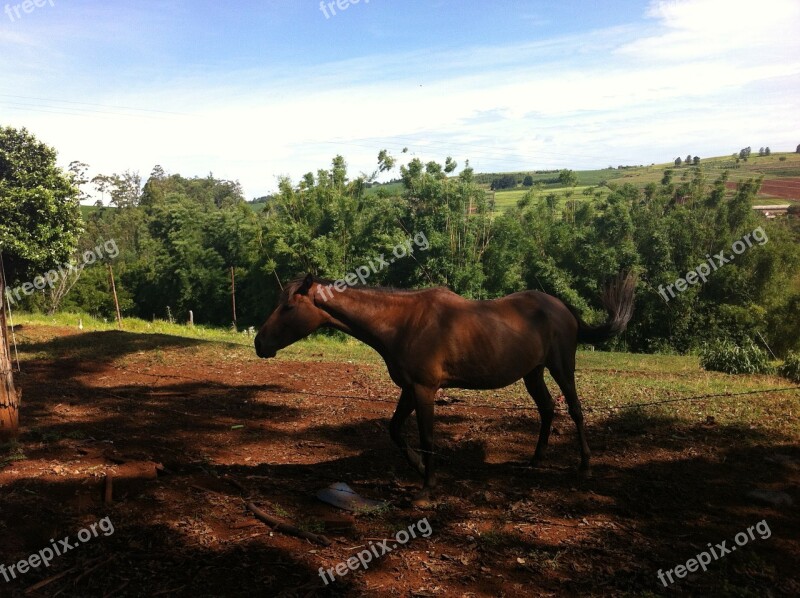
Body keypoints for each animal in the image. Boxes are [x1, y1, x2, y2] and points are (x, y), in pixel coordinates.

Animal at [253, 274, 636, 504]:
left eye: (288, 306)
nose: (259, 343)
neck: (402, 322)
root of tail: (561, 307)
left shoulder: (424, 389)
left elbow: (426, 436)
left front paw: (427, 486)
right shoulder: (409, 389)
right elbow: (395, 430)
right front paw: (420, 468)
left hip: (561, 367)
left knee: (574, 409)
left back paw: (585, 465)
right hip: (532, 373)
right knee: (547, 409)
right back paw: (535, 461)